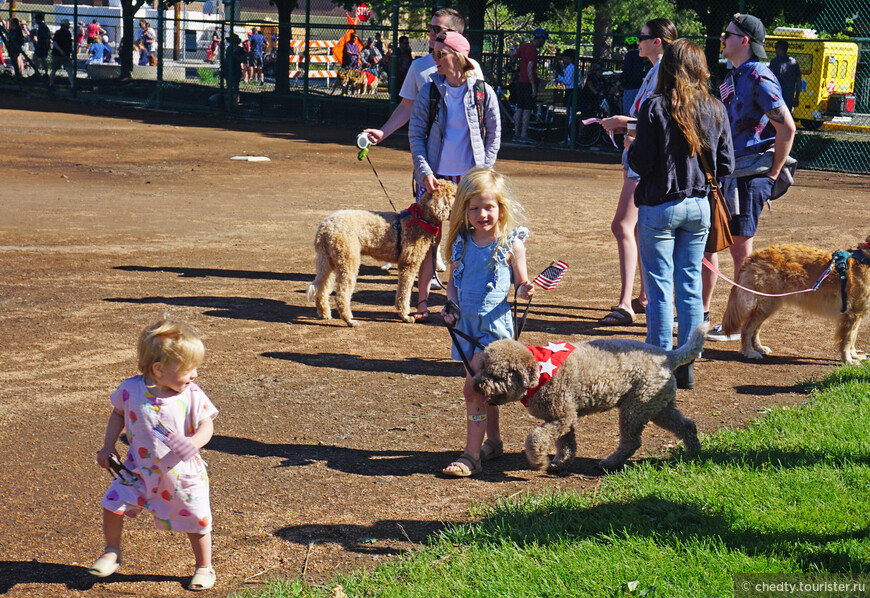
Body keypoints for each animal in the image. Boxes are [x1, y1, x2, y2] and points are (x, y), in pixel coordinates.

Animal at [306, 185, 456, 330]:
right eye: (454, 195)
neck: (420, 219)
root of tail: (325, 227)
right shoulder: (408, 264)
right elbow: (404, 292)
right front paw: (405, 316)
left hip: (327, 261)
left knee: (321, 286)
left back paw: (325, 313)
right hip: (348, 260)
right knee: (341, 295)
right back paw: (349, 320)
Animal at [470, 326, 708, 476]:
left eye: (495, 374)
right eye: (480, 367)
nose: (476, 385)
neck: (540, 371)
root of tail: (668, 356)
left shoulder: (561, 416)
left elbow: (534, 438)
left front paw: (538, 461)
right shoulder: (564, 418)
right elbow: (566, 444)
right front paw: (559, 463)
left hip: (635, 408)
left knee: (631, 442)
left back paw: (610, 463)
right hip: (658, 406)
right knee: (687, 426)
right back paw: (694, 453)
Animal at [724, 239, 870, 366]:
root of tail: (753, 257)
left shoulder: (857, 314)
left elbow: (853, 338)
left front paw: (855, 356)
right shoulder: (851, 314)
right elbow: (847, 340)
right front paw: (848, 360)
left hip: (769, 305)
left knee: (756, 328)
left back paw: (759, 348)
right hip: (766, 304)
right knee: (747, 328)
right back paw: (749, 352)